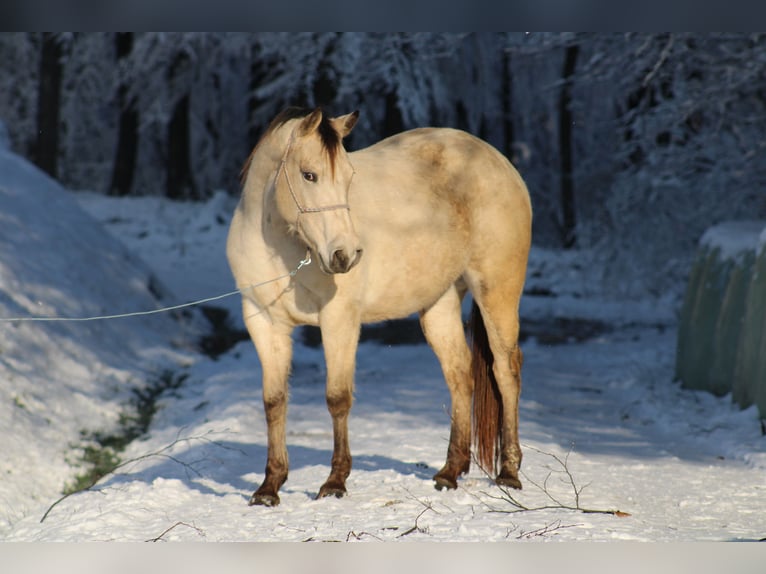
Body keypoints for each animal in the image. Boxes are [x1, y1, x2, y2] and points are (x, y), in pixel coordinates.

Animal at [225, 106, 532, 506]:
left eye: (349, 177)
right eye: (309, 175)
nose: (345, 255)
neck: (281, 247)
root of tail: (500, 163)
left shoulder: (339, 319)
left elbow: (338, 398)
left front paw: (335, 482)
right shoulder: (263, 322)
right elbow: (274, 402)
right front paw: (269, 487)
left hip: (497, 292)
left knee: (505, 371)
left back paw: (509, 472)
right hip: (440, 303)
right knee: (460, 375)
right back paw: (449, 472)